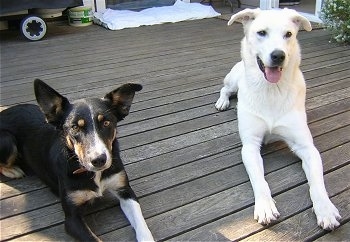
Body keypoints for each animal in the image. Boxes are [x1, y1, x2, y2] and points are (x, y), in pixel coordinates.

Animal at [0, 78, 153, 241]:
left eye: (106, 123)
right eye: (75, 127)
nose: (99, 160)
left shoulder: (125, 191)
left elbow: (141, 224)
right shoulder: (72, 219)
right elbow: (93, 238)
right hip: (7, 140)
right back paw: (13, 170)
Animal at [216, 8, 342, 230]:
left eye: (288, 34)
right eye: (261, 32)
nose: (278, 55)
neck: (271, 90)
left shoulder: (307, 147)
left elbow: (317, 184)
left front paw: (325, 209)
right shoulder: (250, 146)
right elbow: (259, 181)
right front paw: (265, 206)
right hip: (233, 81)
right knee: (225, 89)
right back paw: (222, 102)